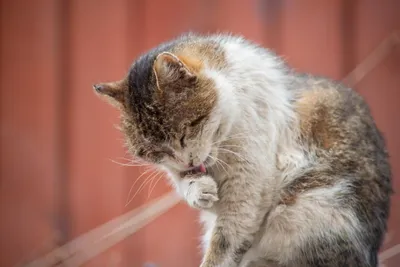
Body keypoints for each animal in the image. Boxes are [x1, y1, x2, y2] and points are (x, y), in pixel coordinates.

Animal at [93, 33, 390, 267]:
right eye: (154, 152)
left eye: (188, 129)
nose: (187, 161)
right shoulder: (184, 174)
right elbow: (186, 184)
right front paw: (198, 189)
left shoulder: (247, 188)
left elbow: (225, 242)